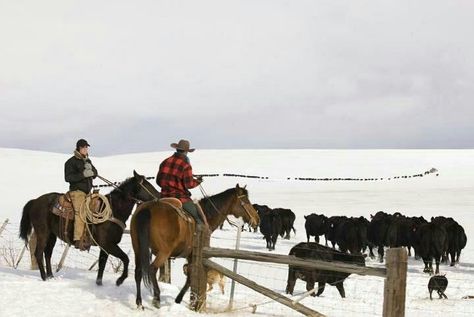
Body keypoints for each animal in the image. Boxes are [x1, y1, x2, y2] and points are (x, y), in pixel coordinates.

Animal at [131, 183, 260, 308]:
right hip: (163, 252)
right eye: (246, 201)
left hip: (137, 248)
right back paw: (156, 299)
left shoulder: (190, 256)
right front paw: (179, 299)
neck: (206, 214)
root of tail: (148, 209)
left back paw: (139, 302)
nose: (257, 219)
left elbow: (189, 278)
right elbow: (190, 278)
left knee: (138, 272)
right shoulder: (193, 256)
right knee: (152, 269)